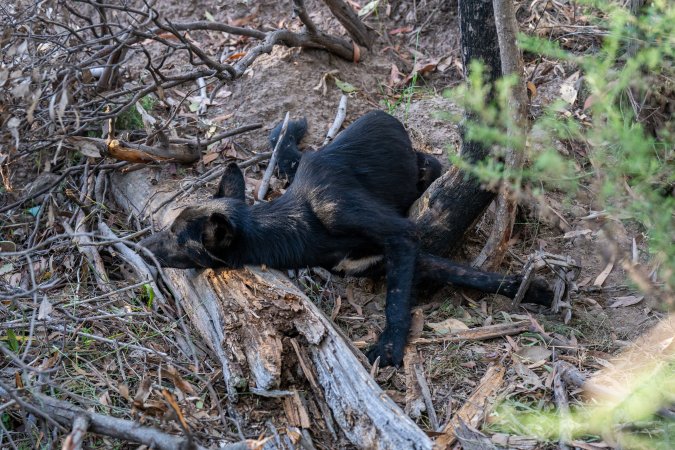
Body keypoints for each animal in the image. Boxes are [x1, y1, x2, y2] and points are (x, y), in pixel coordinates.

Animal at [140, 110, 552, 368]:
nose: (142, 247)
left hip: (421, 167)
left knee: (433, 164)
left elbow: (400, 298)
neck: (300, 223)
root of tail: (383, 115)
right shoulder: (384, 259)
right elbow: (461, 273)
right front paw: (531, 289)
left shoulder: (398, 237)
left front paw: (389, 346)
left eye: (177, 237)